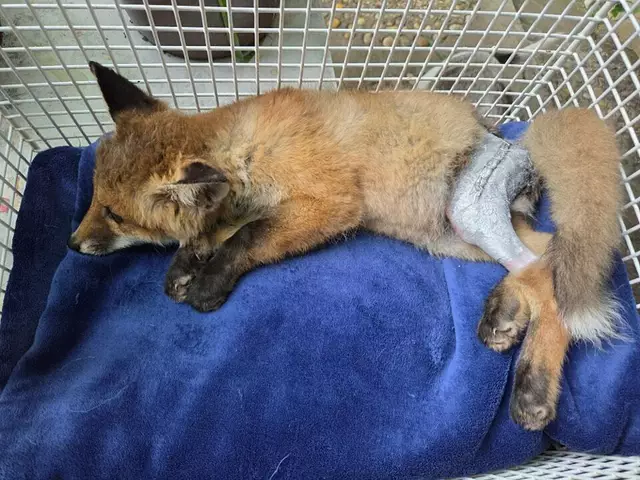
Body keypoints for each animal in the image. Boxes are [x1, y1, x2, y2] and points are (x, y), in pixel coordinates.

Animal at [69, 62, 622, 431]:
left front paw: (207, 282)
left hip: (466, 219)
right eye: (94, 196)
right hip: (452, 234)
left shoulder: (329, 204)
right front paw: (187, 262)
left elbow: (248, 236)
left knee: (549, 277)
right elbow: (217, 228)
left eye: (116, 215)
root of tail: (507, 134)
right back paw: (505, 315)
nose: (72, 244)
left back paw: (532, 386)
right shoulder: (244, 200)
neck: (246, 149)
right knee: (544, 257)